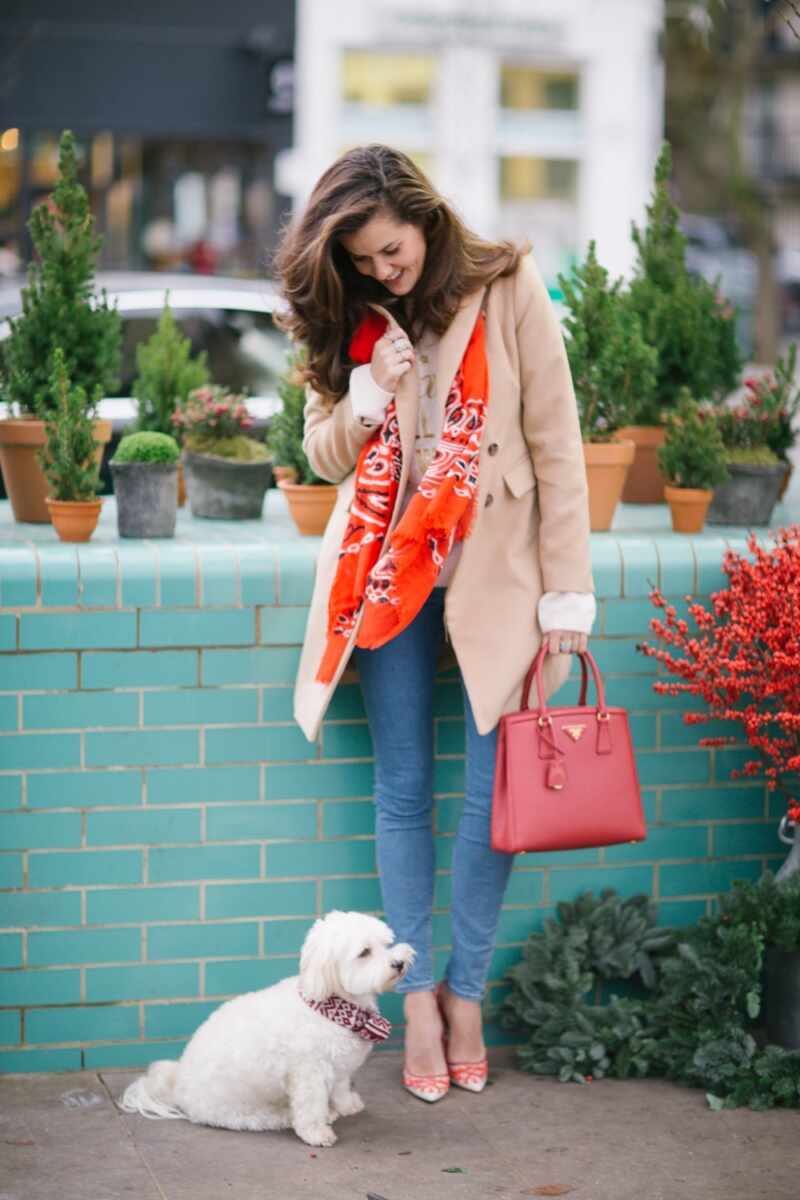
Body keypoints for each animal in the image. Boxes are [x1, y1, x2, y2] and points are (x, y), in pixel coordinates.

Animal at [123, 912, 419, 1147]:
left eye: (387, 944)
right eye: (364, 953)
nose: (399, 962)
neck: (329, 1005)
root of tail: (178, 1086)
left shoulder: (338, 1065)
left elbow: (341, 1087)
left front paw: (347, 1105)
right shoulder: (307, 1073)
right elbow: (310, 1105)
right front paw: (316, 1132)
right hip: (236, 1110)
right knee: (260, 1118)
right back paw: (292, 1116)